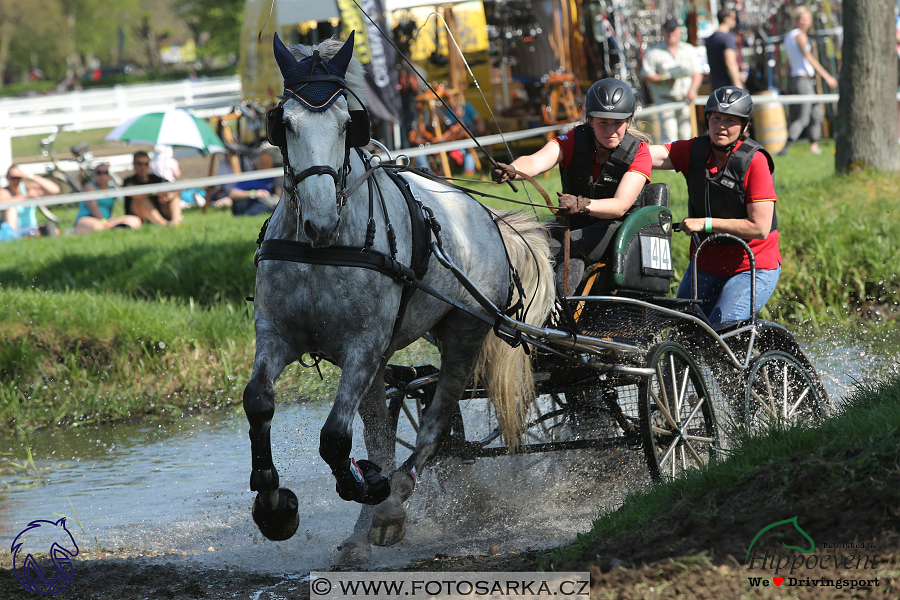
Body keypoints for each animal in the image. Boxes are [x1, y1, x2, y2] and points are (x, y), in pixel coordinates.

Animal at [241, 32, 556, 564]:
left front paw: (367, 486)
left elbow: (335, 439)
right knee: (382, 433)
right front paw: (273, 506)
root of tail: (488, 217)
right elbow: (259, 402)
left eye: (349, 122)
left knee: (437, 417)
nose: (320, 221)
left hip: (463, 330)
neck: (325, 250)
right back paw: (360, 535)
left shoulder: (363, 346)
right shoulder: (278, 334)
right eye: (284, 124)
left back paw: (390, 504)